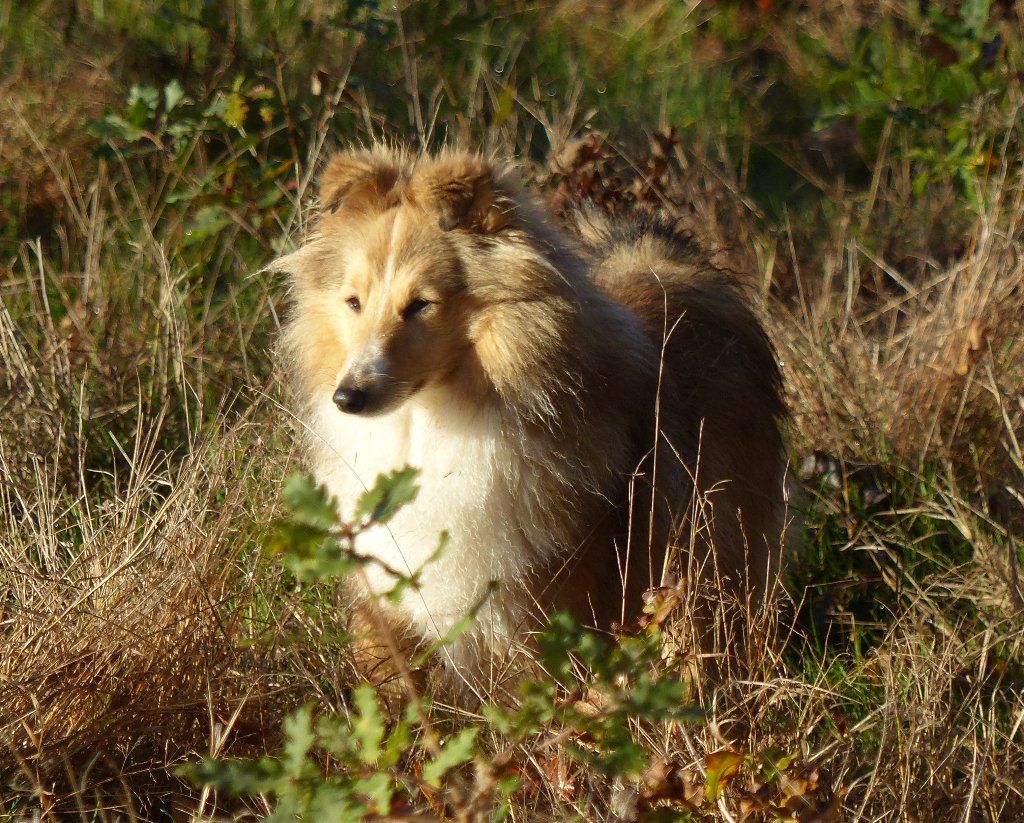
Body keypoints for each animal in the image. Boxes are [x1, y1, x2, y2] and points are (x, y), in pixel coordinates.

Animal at [276, 144, 786, 691]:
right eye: (353, 302)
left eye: (421, 304)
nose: (348, 397)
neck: (428, 420)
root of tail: (663, 259)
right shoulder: (387, 605)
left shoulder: (548, 606)